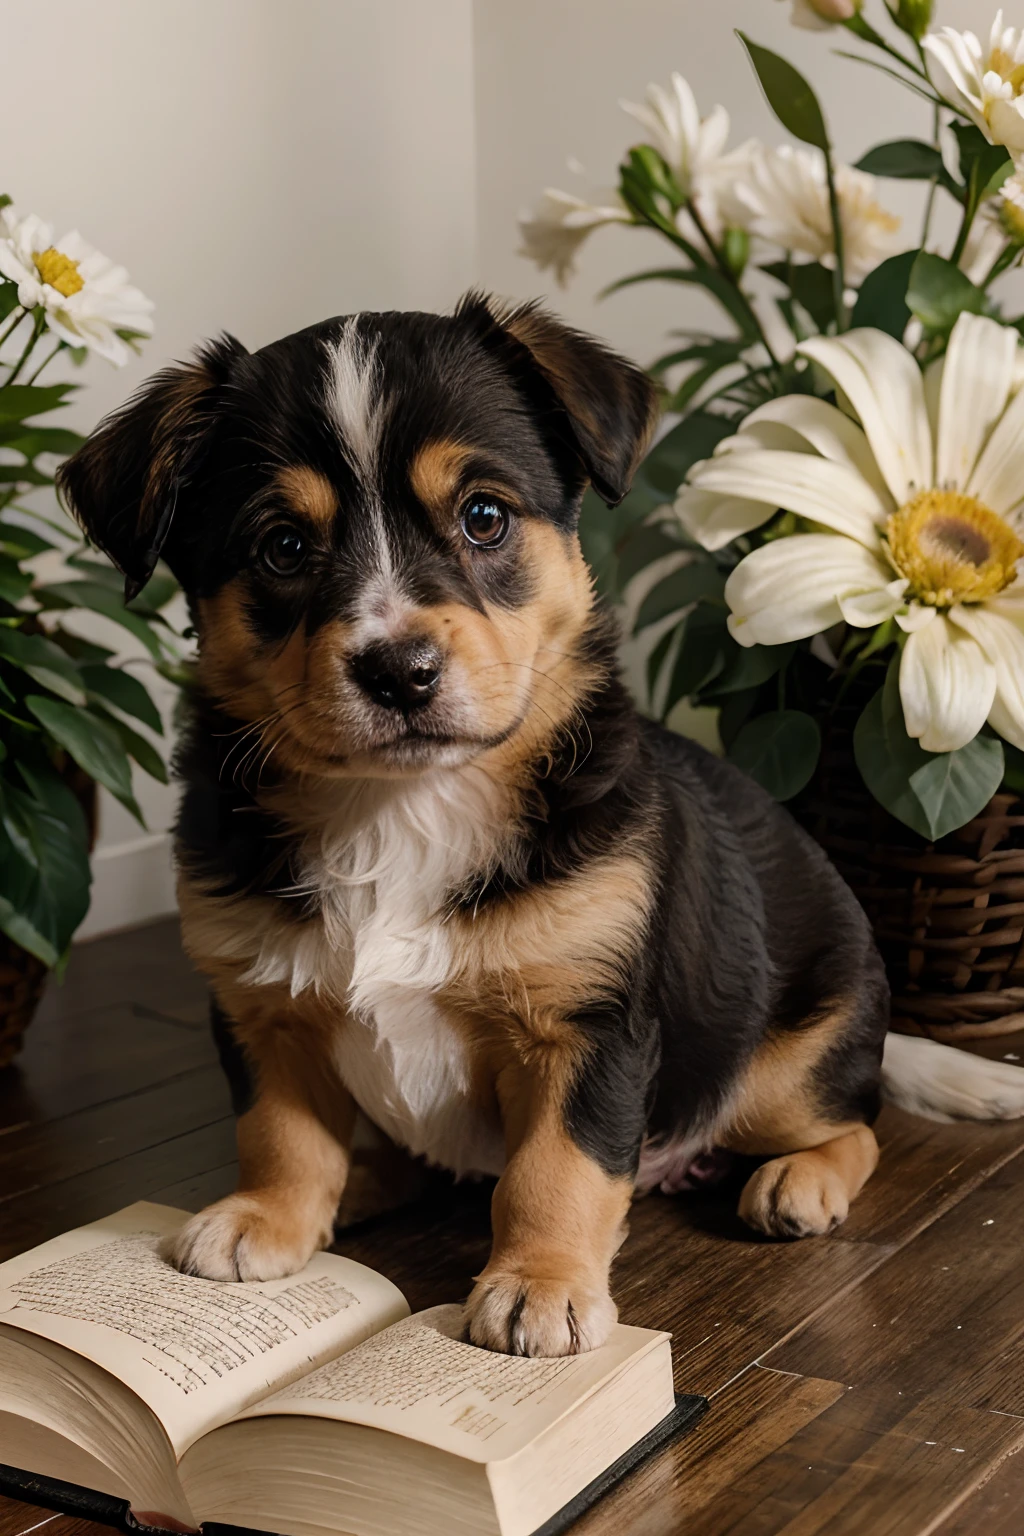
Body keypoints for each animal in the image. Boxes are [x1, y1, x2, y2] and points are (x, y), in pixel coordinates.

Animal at [57, 296, 1024, 1357]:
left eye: (484, 516)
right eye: (281, 547)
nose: (400, 673)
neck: (400, 808)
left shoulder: (585, 1024)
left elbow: (558, 1167)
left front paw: (541, 1286)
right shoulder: (261, 1005)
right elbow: (281, 1133)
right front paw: (269, 1218)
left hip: (784, 1072)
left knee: (857, 1118)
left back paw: (799, 1182)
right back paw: (365, 1181)